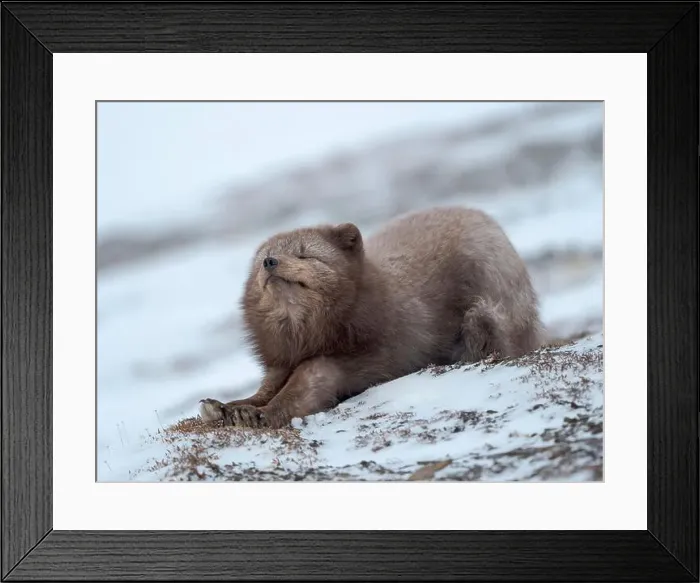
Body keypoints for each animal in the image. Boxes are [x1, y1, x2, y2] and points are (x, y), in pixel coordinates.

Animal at [199, 206, 545, 429]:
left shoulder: (371, 355)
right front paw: (226, 407)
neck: (307, 335)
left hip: (490, 296)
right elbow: (265, 389)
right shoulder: (280, 359)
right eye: (263, 259)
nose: (270, 262)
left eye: (304, 254)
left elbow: (310, 376)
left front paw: (261, 415)